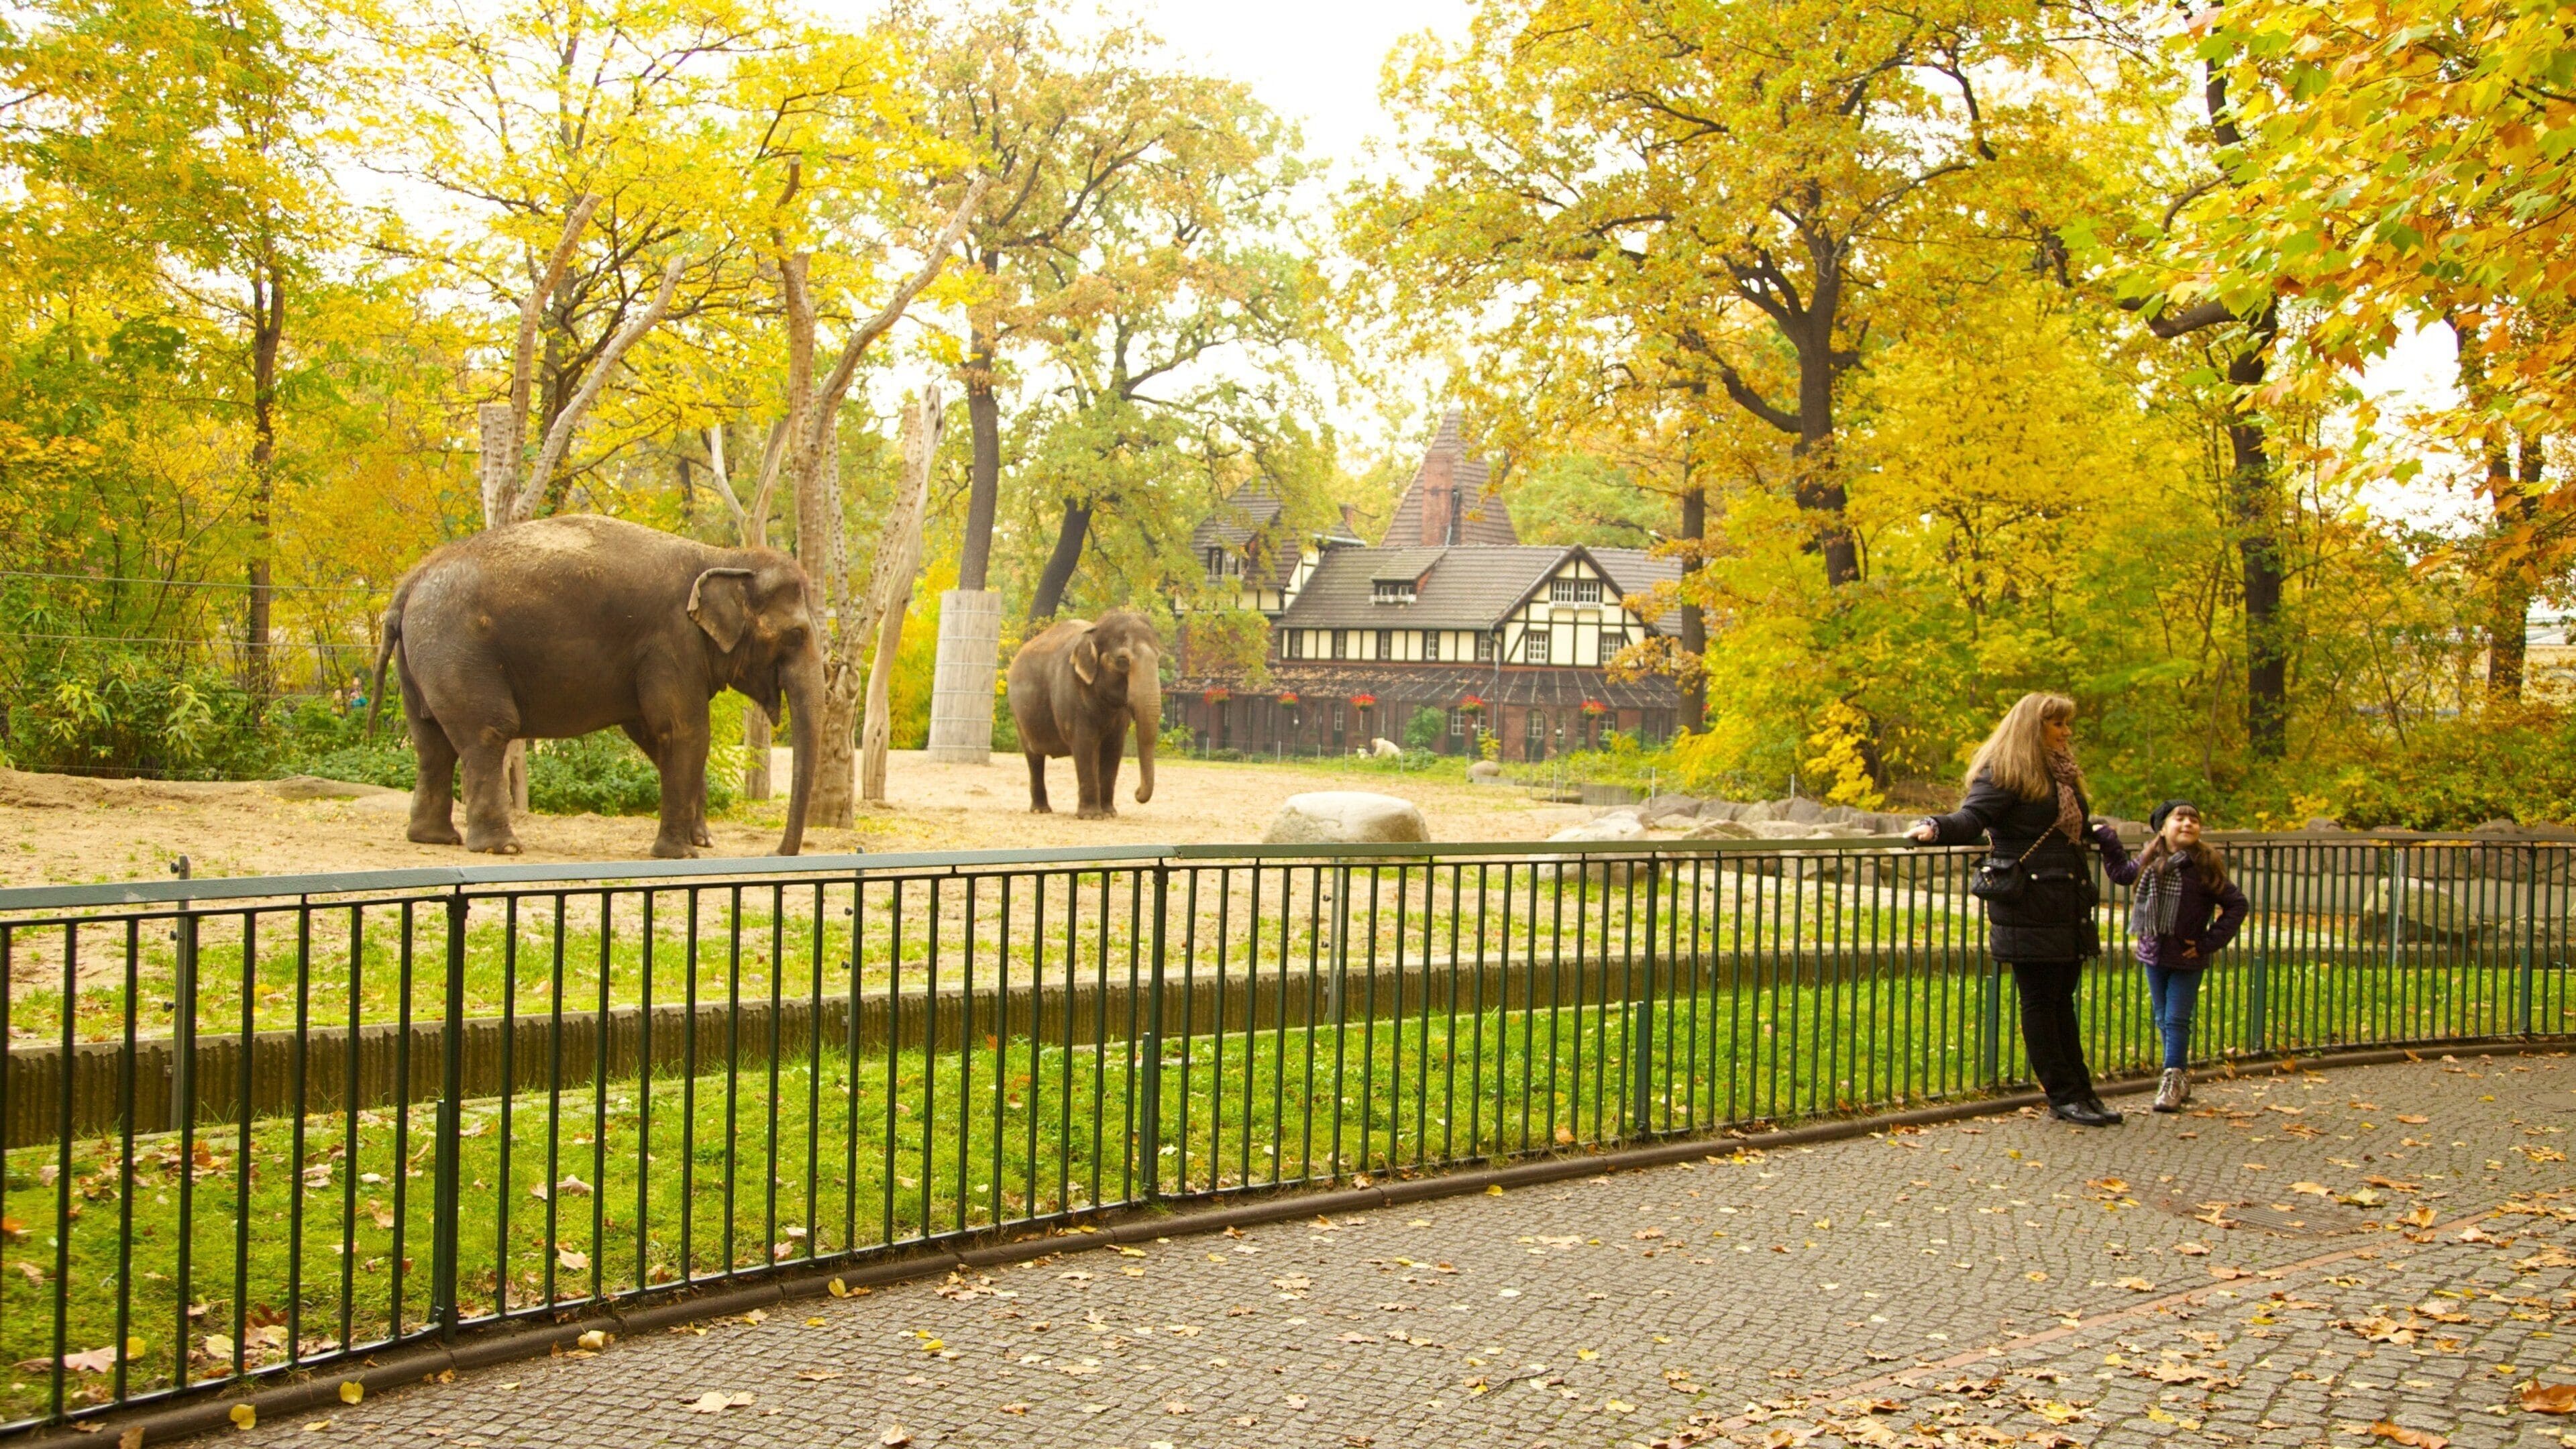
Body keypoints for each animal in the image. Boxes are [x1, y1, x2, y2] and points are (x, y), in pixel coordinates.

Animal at [368, 514, 821, 858]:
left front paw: (703, 841)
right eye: (796, 635)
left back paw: (434, 839)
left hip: (421, 656)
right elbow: (682, 731)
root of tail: (410, 582)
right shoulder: (671, 641)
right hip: (457, 649)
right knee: (487, 732)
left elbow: (652, 734)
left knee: (431, 742)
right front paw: (682, 855)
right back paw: (502, 848)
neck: (721, 556)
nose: (776, 853)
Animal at [1005, 610, 1162, 818]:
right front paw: (1091, 816)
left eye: (1158, 659)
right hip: (1019, 716)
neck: (1094, 631)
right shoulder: (1071, 694)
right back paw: (1041, 810)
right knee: (1034, 757)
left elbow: (1114, 749)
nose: (1136, 793)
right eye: (1123, 661)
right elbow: (1085, 744)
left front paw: (1109, 814)